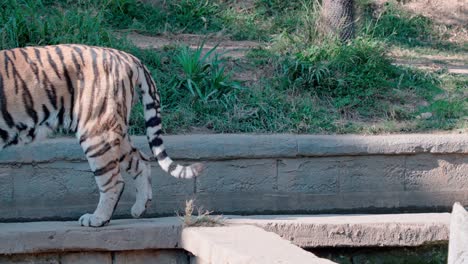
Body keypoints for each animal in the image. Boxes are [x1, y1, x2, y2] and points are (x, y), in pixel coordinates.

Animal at [0, 44, 204, 227]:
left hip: (96, 132)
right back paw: (139, 209)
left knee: (114, 181)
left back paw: (97, 218)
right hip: (115, 130)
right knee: (141, 161)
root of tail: (127, 56)